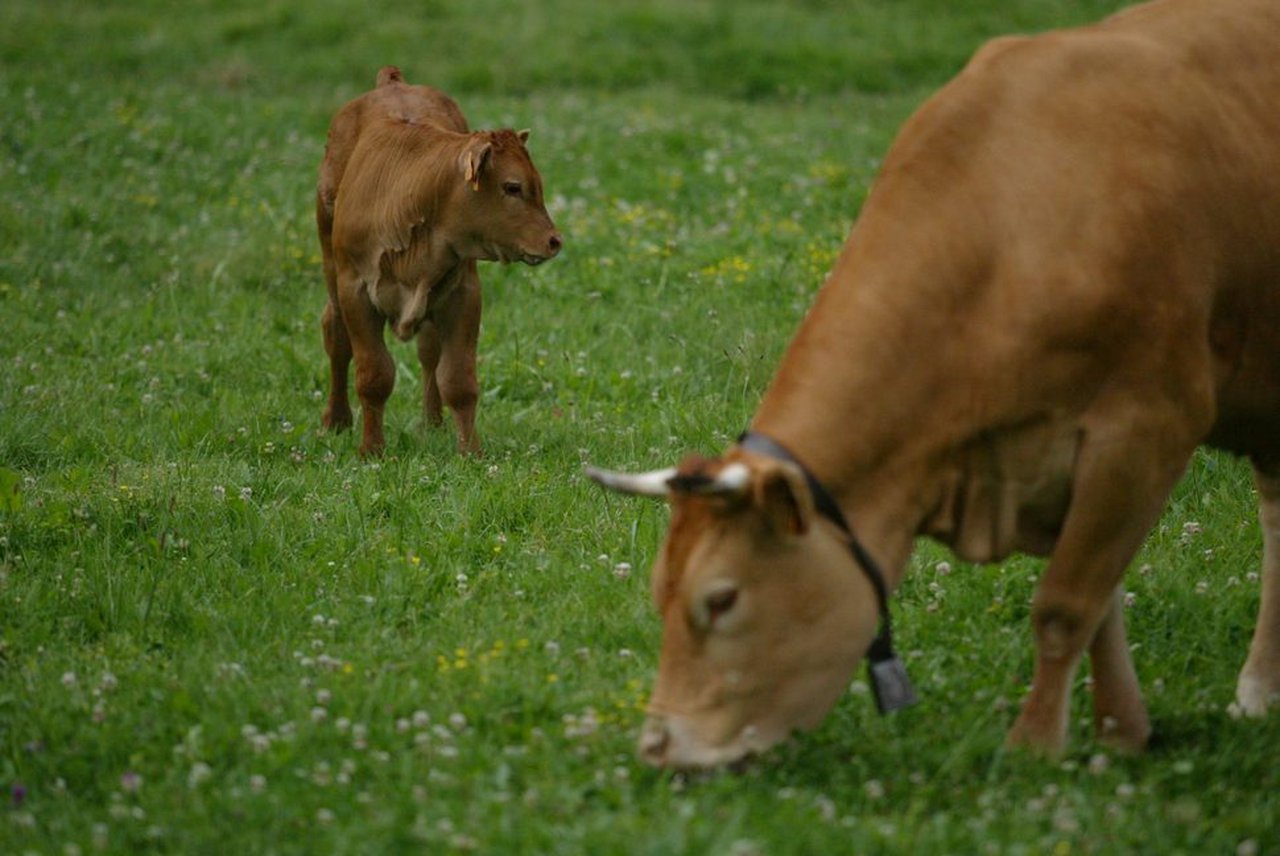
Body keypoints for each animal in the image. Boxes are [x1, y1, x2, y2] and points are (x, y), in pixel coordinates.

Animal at [316, 67, 562, 456]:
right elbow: (374, 374)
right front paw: (371, 449)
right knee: (337, 337)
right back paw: (336, 419)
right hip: (331, 267)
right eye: (512, 187)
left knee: (429, 351)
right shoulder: (356, 292)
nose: (554, 241)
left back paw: (432, 423)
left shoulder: (463, 294)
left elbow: (458, 380)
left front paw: (470, 451)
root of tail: (392, 82)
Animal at [588, 0, 1280, 769]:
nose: (658, 747)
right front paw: (1120, 732)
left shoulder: (1146, 426)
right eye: (660, 594)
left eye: (721, 600)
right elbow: (1101, 602)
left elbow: (1067, 603)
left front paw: (1033, 749)